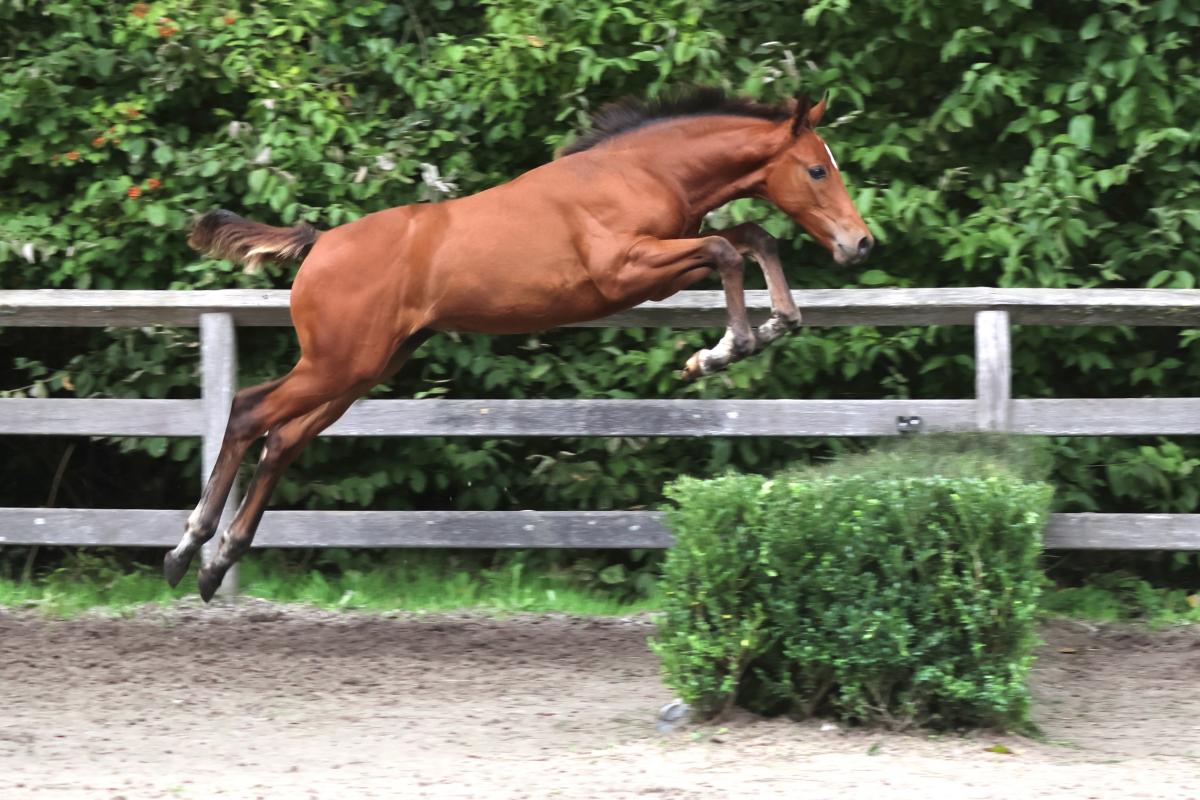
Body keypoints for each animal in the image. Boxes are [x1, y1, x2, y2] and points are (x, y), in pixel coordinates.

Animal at [165, 88, 873, 601]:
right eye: (816, 169)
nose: (860, 243)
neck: (639, 171)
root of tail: (320, 244)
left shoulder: (662, 265)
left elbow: (753, 238)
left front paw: (774, 326)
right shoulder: (627, 271)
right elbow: (728, 248)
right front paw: (722, 351)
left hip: (361, 372)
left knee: (283, 439)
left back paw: (216, 562)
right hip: (335, 364)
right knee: (250, 411)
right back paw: (187, 549)